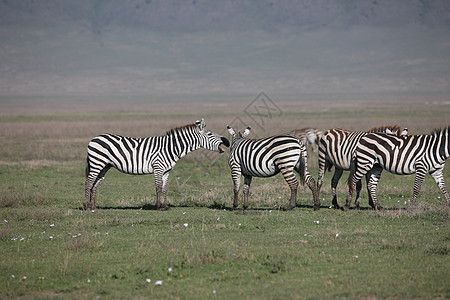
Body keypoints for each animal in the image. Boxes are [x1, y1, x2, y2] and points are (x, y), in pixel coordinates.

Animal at [84, 119, 230, 211]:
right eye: (210, 134)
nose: (227, 141)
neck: (171, 148)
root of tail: (94, 138)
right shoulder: (158, 168)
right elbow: (158, 187)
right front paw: (159, 207)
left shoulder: (167, 170)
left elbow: (164, 188)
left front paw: (165, 206)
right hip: (97, 162)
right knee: (89, 182)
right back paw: (86, 207)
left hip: (104, 165)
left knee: (95, 184)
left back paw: (93, 207)